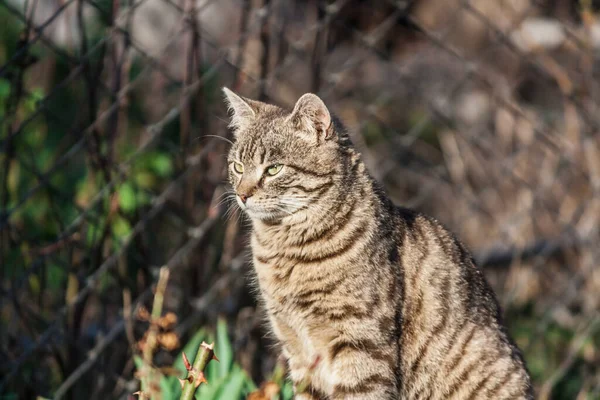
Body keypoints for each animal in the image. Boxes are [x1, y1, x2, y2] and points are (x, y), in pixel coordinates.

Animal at [224, 88, 528, 400]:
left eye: (274, 169)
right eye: (237, 166)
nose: (242, 194)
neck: (284, 247)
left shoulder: (360, 343)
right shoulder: (297, 349)